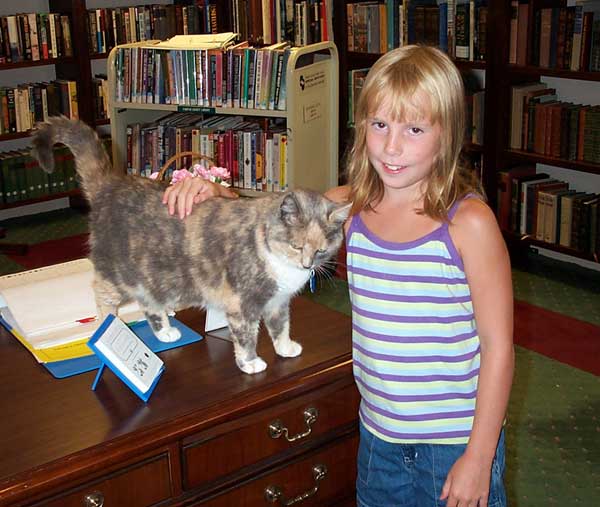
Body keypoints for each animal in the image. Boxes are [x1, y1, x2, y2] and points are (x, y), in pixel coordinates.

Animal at [31, 118, 352, 374]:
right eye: (296, 246)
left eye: (321, 250)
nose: (307, 265)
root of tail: (111, 184)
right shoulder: (242, 303)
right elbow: (246, 336)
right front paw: (250, 363)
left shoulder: (278, 301)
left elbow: (281, 325)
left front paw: (285, 348)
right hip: (118, 274)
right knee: (101, 294)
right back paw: (110, 325)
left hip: (153, 277)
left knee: (149, 304)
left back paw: (165, 333)